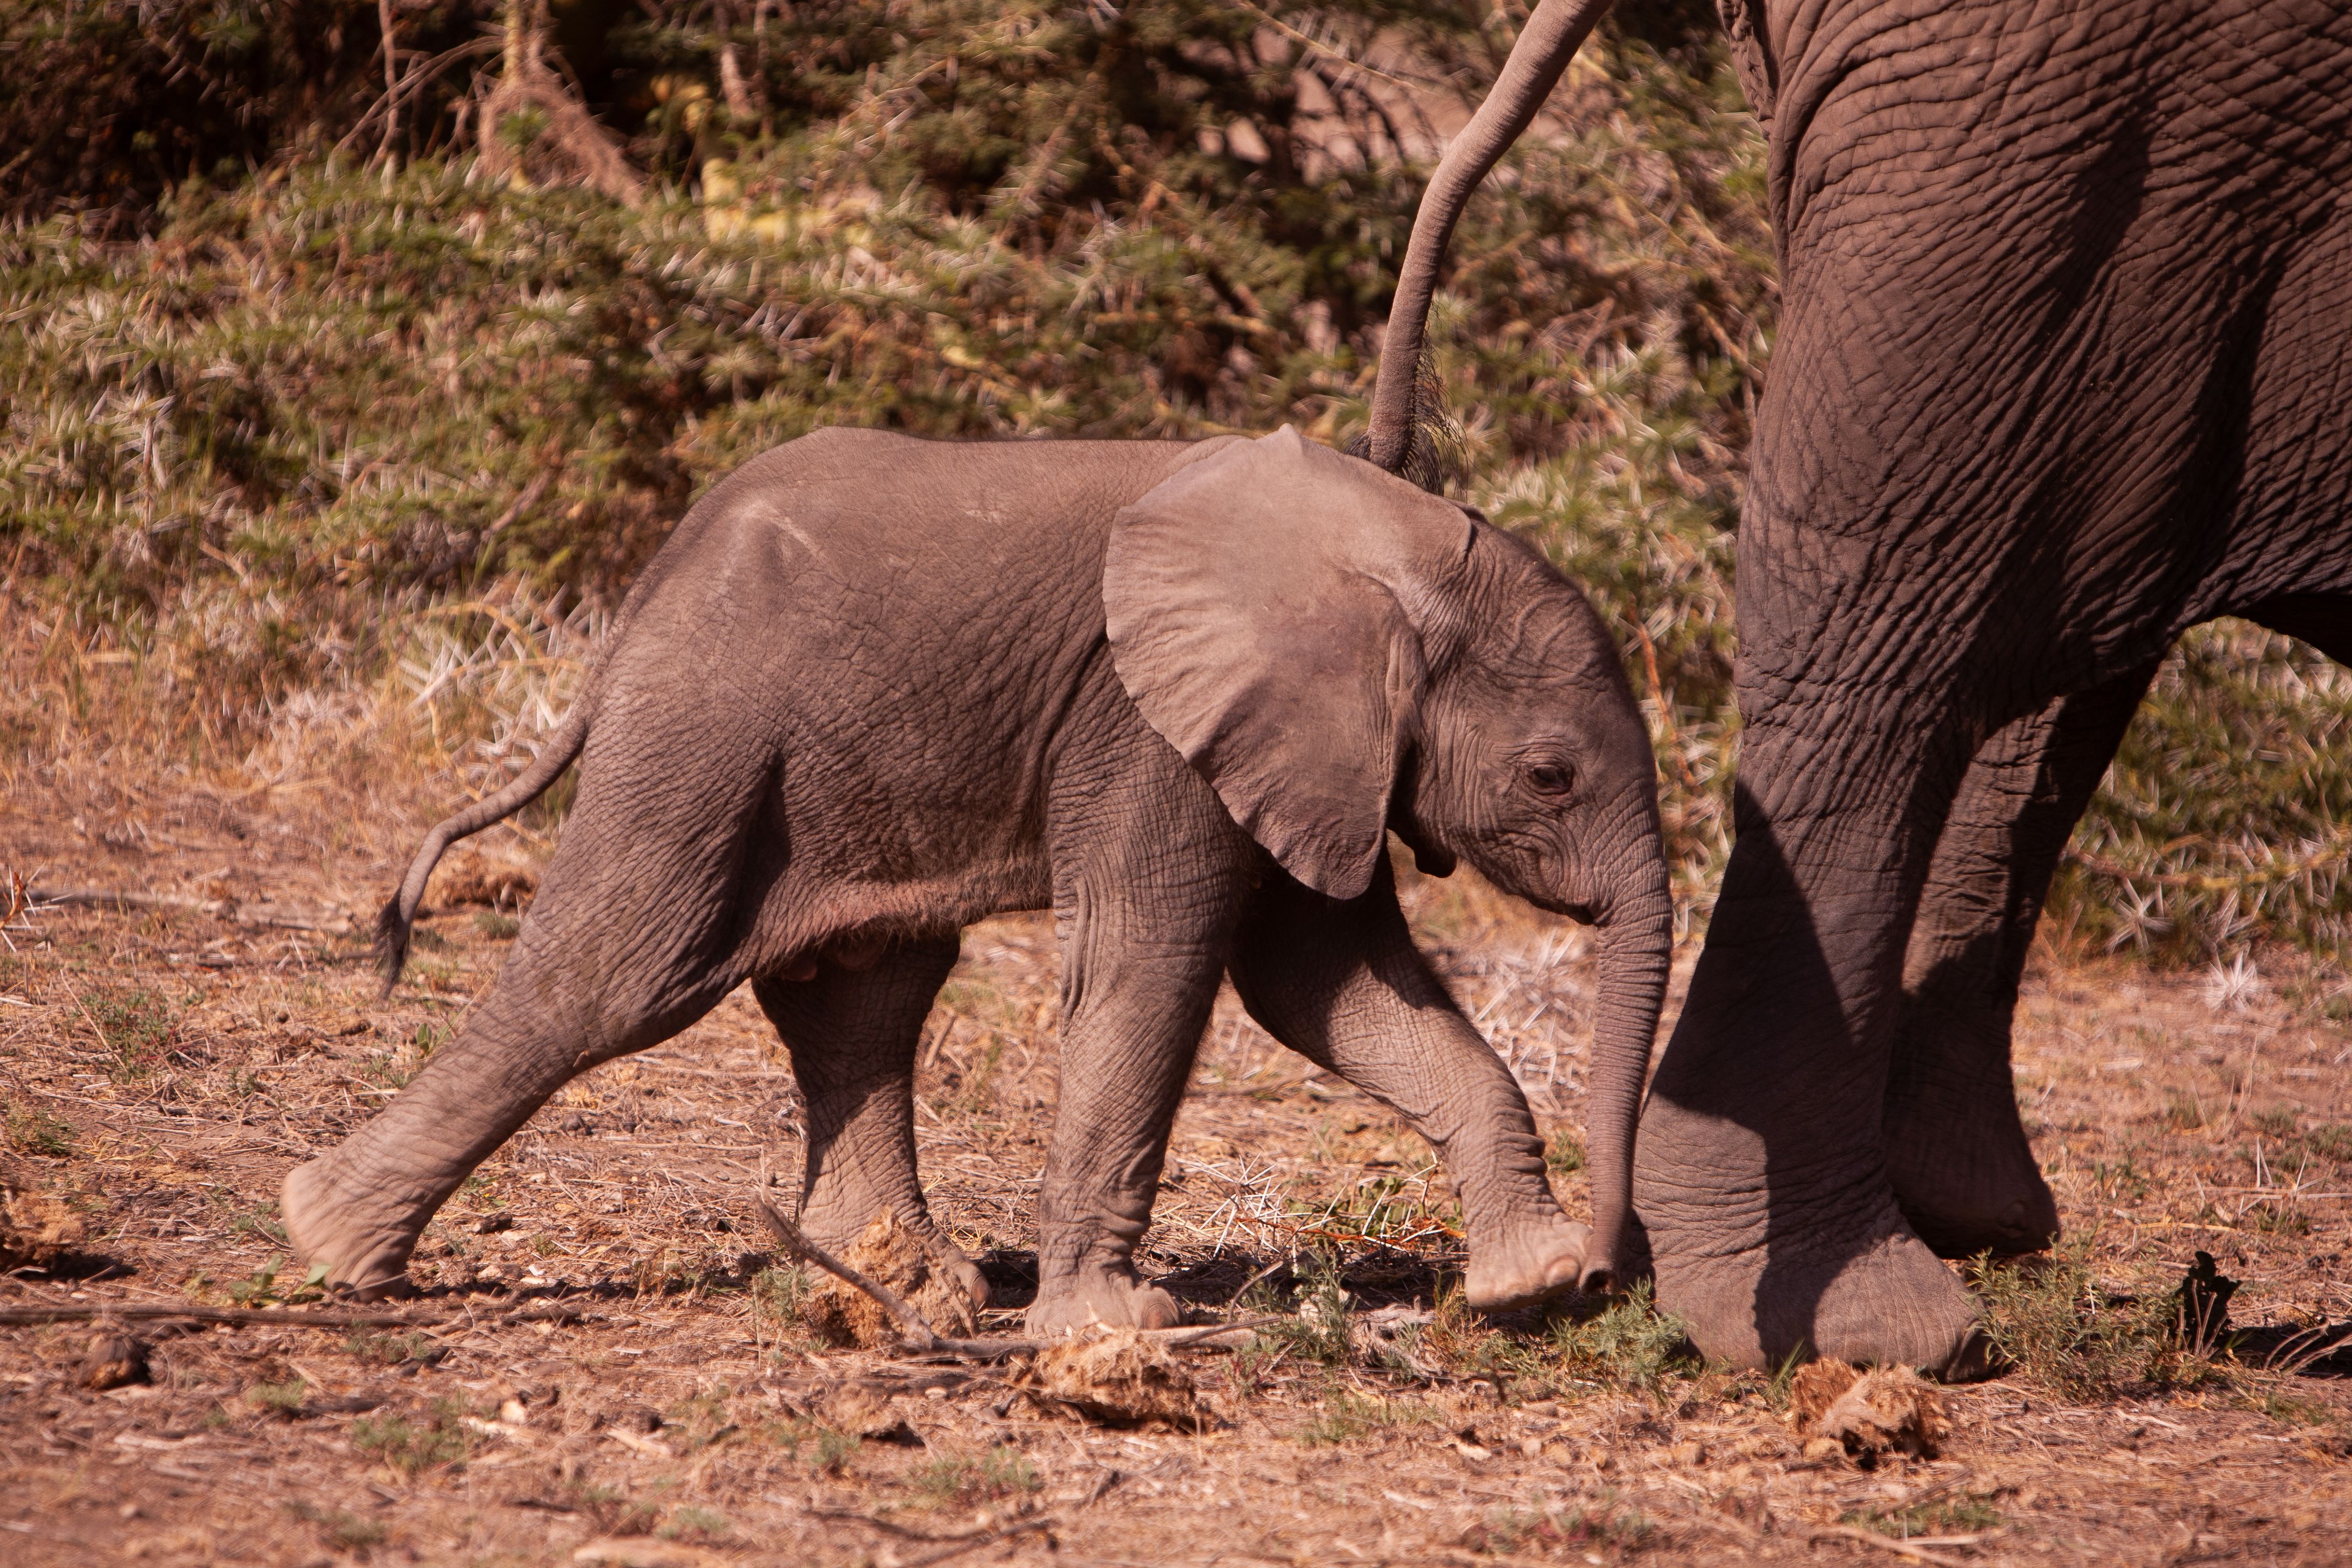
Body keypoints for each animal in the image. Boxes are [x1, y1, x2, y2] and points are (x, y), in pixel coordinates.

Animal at [279, 424, 1674, 1334]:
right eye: (1552, 776)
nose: (1620, 1277)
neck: (1380, 534)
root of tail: (641, 600)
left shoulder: (1306, 747)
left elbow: (1325, 985)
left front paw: (1529, 1280)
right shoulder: (1152, 726)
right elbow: (1157, 968)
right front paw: (1118, 1328)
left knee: (862, 990)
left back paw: (908, 1287)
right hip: (706, 729)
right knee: (618, 972)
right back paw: (329, 1247)